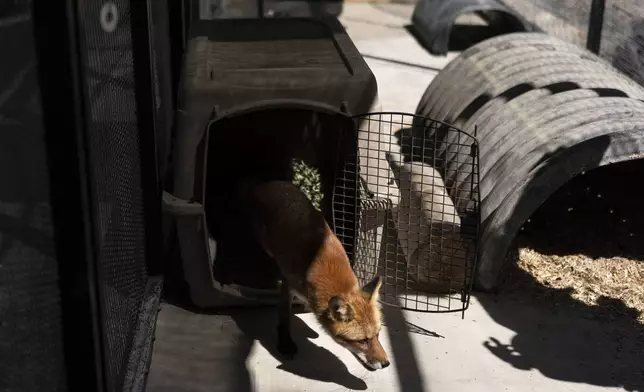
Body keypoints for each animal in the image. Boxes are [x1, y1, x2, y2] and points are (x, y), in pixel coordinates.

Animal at [235, 180, 390, 370]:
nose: (386, 363)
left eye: (378, 334)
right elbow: (284, 317)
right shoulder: (289, 284)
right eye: (362, 341)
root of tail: (270, 183)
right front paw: (285, 344)